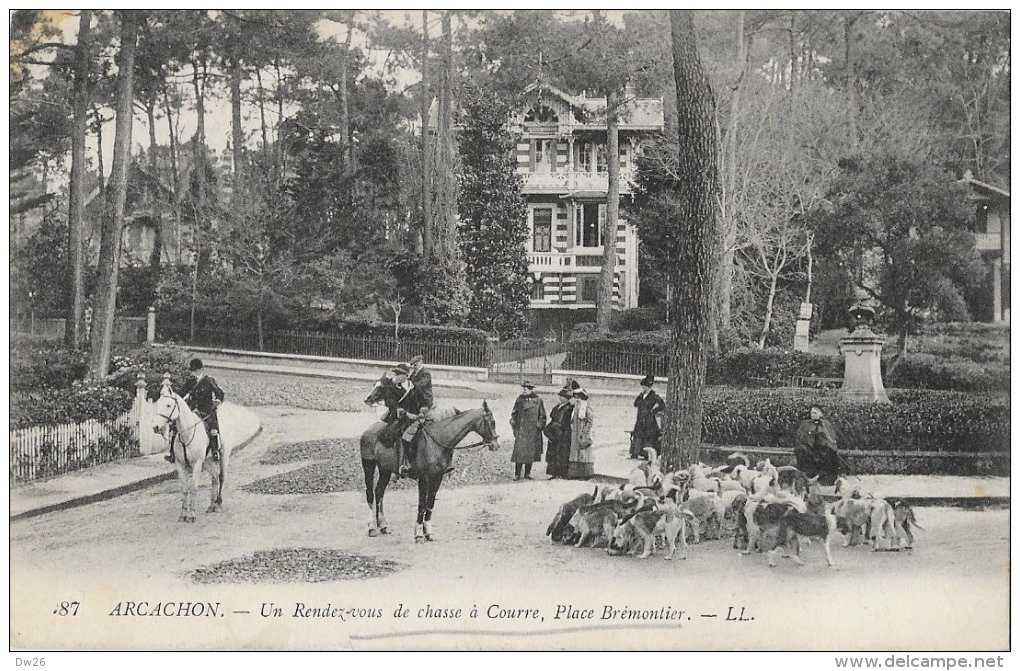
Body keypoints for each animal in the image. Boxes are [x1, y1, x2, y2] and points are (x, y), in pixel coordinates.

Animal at [151, 387, 230, 522]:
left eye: (168, 405)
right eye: (158, 404)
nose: (156, 427)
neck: (186, 433)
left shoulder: (197, 465)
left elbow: (193, 488)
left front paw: (192, 514)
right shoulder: (180, 465)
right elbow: (184, 489)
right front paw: (183, 514)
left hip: (223, 456)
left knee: (221, 477)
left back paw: (219, 504)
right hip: (207, 461)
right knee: (214, 478)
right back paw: (211, 505)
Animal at [361, 393, 499, 542]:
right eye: (492, 422)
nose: (496, 445)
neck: (438, 441)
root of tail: (368, 430)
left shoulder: (437, 477)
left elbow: (430, 504)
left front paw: (428, 532)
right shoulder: (424, 478)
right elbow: (422, 505)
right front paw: (418, 534)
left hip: (384, 470)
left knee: (379, 491)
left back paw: (383, 525)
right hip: (368, 466)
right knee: (370, 494)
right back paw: (372, 527)